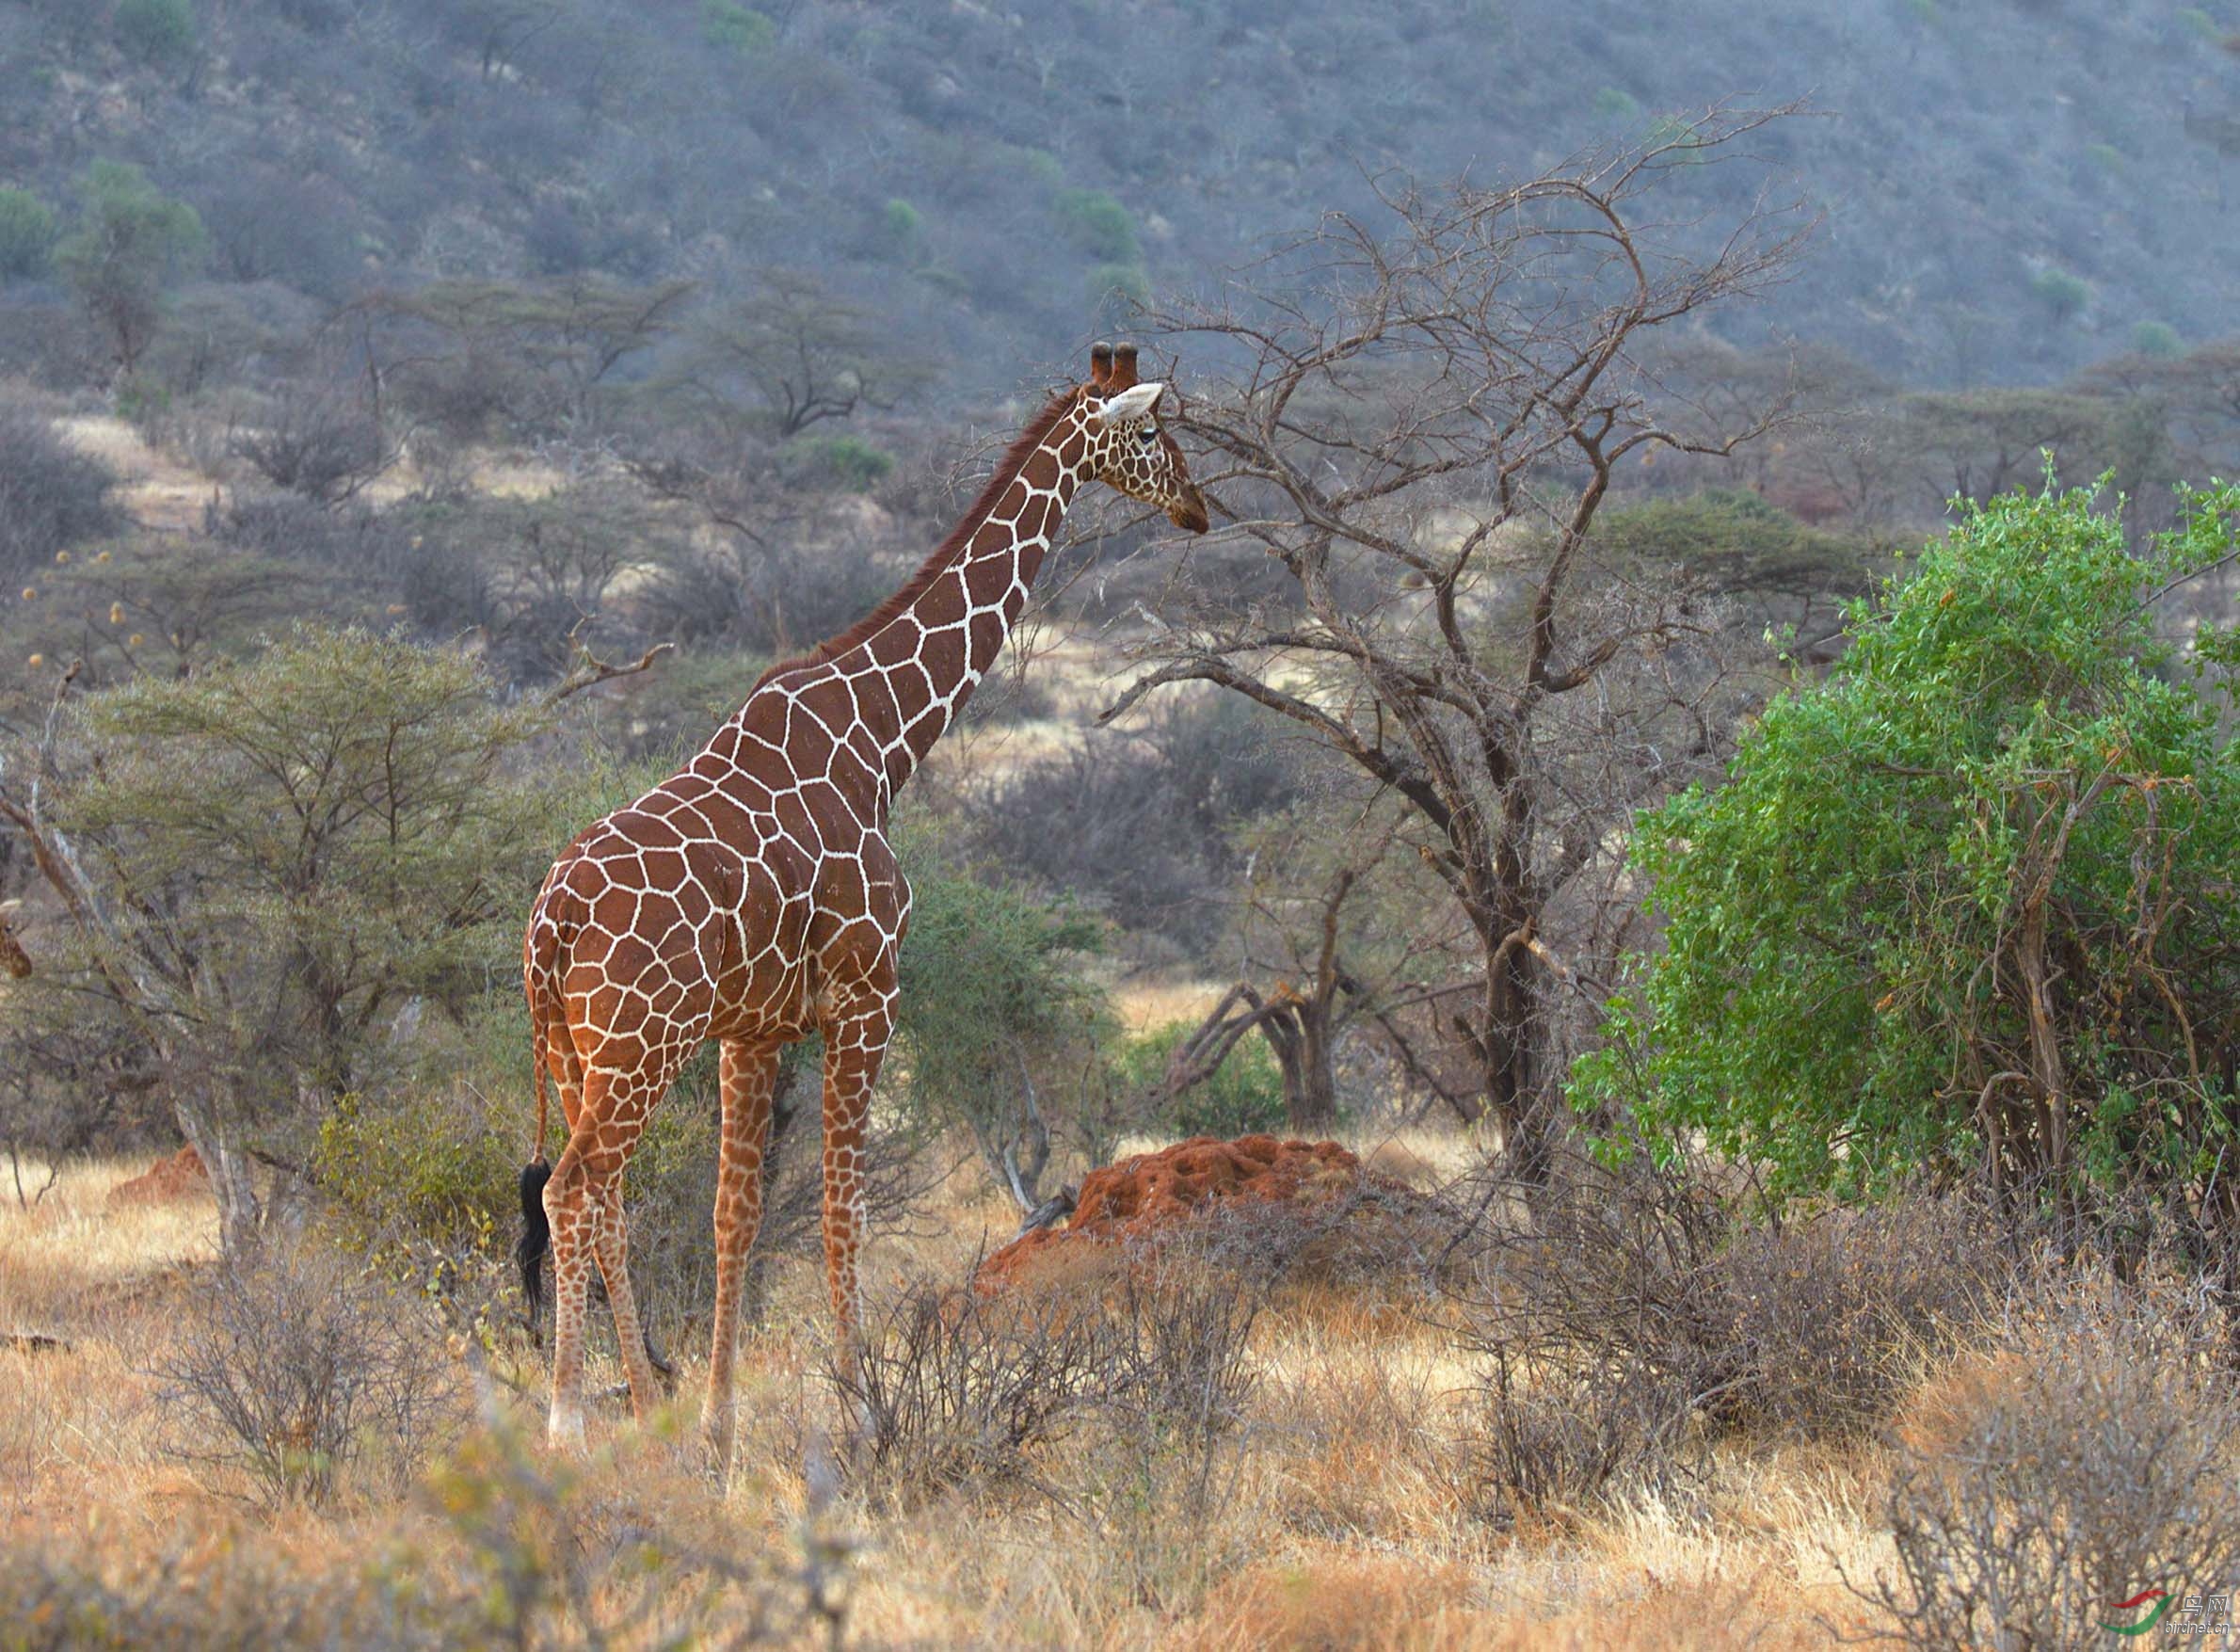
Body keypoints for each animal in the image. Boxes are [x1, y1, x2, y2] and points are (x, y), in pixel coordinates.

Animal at [517, 338, 1209, 1452]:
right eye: (1150, 430)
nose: (1198, 506)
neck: (881, 740)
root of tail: (550, 923)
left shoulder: (752, 1029)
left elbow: (737, 1215)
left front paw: (720, 1427)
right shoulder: (868, 996)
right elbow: (845, 1210)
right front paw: (859, 1409)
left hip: (574, 1051)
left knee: (599, 1195)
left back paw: (637, 1403)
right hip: (638, 1043)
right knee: (577, 1190)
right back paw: (568, 1423)